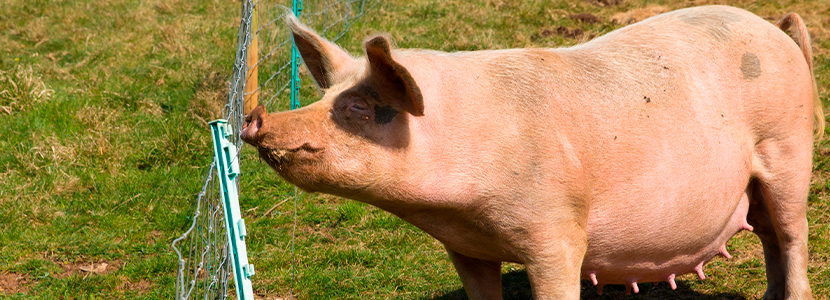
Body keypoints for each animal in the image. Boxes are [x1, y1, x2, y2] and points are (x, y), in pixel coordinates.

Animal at [242, 5, 824, 300]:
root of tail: (776, 31)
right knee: (769, 238)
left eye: (359, 106)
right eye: (323, 97)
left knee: (793, 237)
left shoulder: (558, 229)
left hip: (789, 148)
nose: (255, 118)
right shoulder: (466, 246)